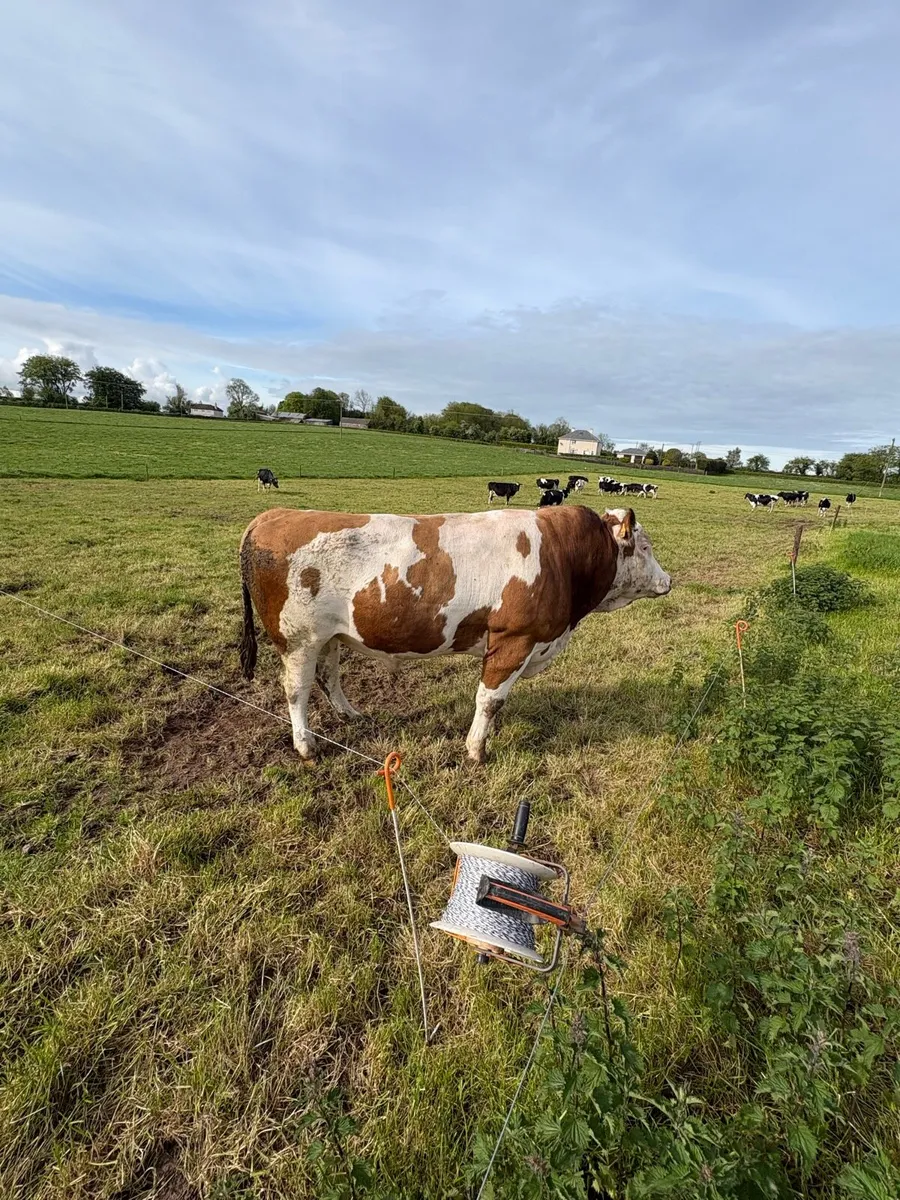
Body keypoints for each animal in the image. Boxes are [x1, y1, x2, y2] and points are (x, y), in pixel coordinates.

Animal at [238, 505, 671, 764]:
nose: (668, 580)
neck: (561, 557)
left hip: (328, 636)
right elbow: (490, 699)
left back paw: (352, 715)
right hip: (299, 638)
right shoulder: (513, 640)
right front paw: (476, 749)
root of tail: (273, 514)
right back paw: (306, 745)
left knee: (329, 676)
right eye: (645, 547)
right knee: (296, 690)